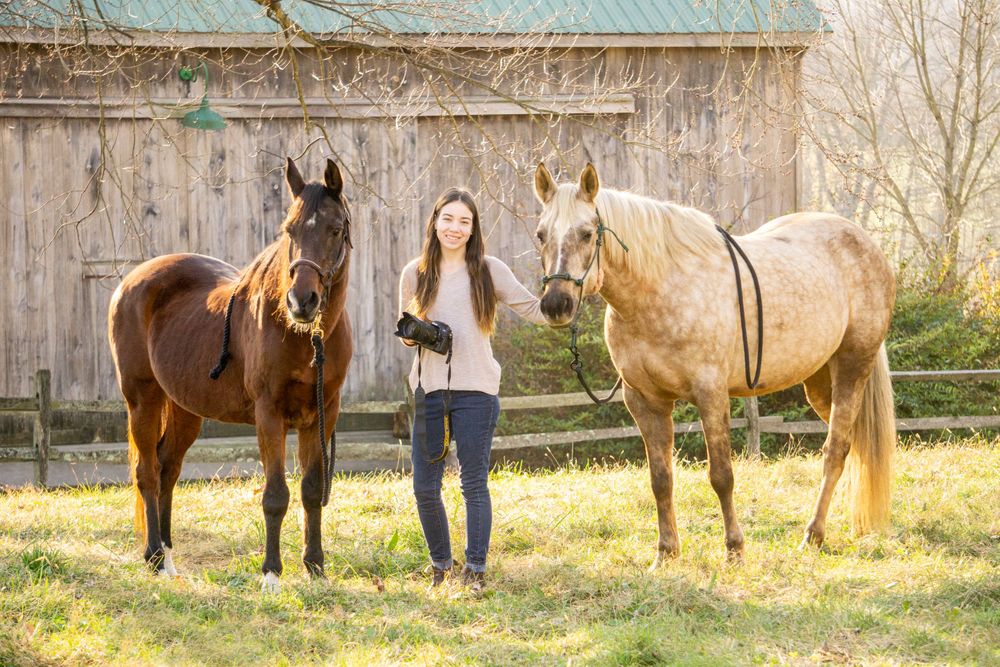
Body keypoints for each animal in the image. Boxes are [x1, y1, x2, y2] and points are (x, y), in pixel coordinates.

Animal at [108, 157, 353, 592]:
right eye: (288, 230)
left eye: (336, 229)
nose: (301, 302)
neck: (305, 338)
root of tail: (130, 283)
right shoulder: (269, 415)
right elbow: (275, 494)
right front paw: (271, 574)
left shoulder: (321, 416)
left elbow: (311, 490)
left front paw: (316, 567)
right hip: (142, 400)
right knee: (147, 473)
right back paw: (154, 558)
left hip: (185, 409)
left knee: (167, 469)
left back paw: (168, 554)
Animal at [532, 163, 896, 564]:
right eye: (540, 235)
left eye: (585, 234)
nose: (556, 305)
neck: (660, 290)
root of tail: (865, 243)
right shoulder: (644, 402)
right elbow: (661, 479)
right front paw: (666, 553)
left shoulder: (711, 395)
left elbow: (721, 476)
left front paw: (734, 549)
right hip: (819, 382)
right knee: (853, 448)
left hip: (852, 367)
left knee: (836, 450)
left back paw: (813, 535)